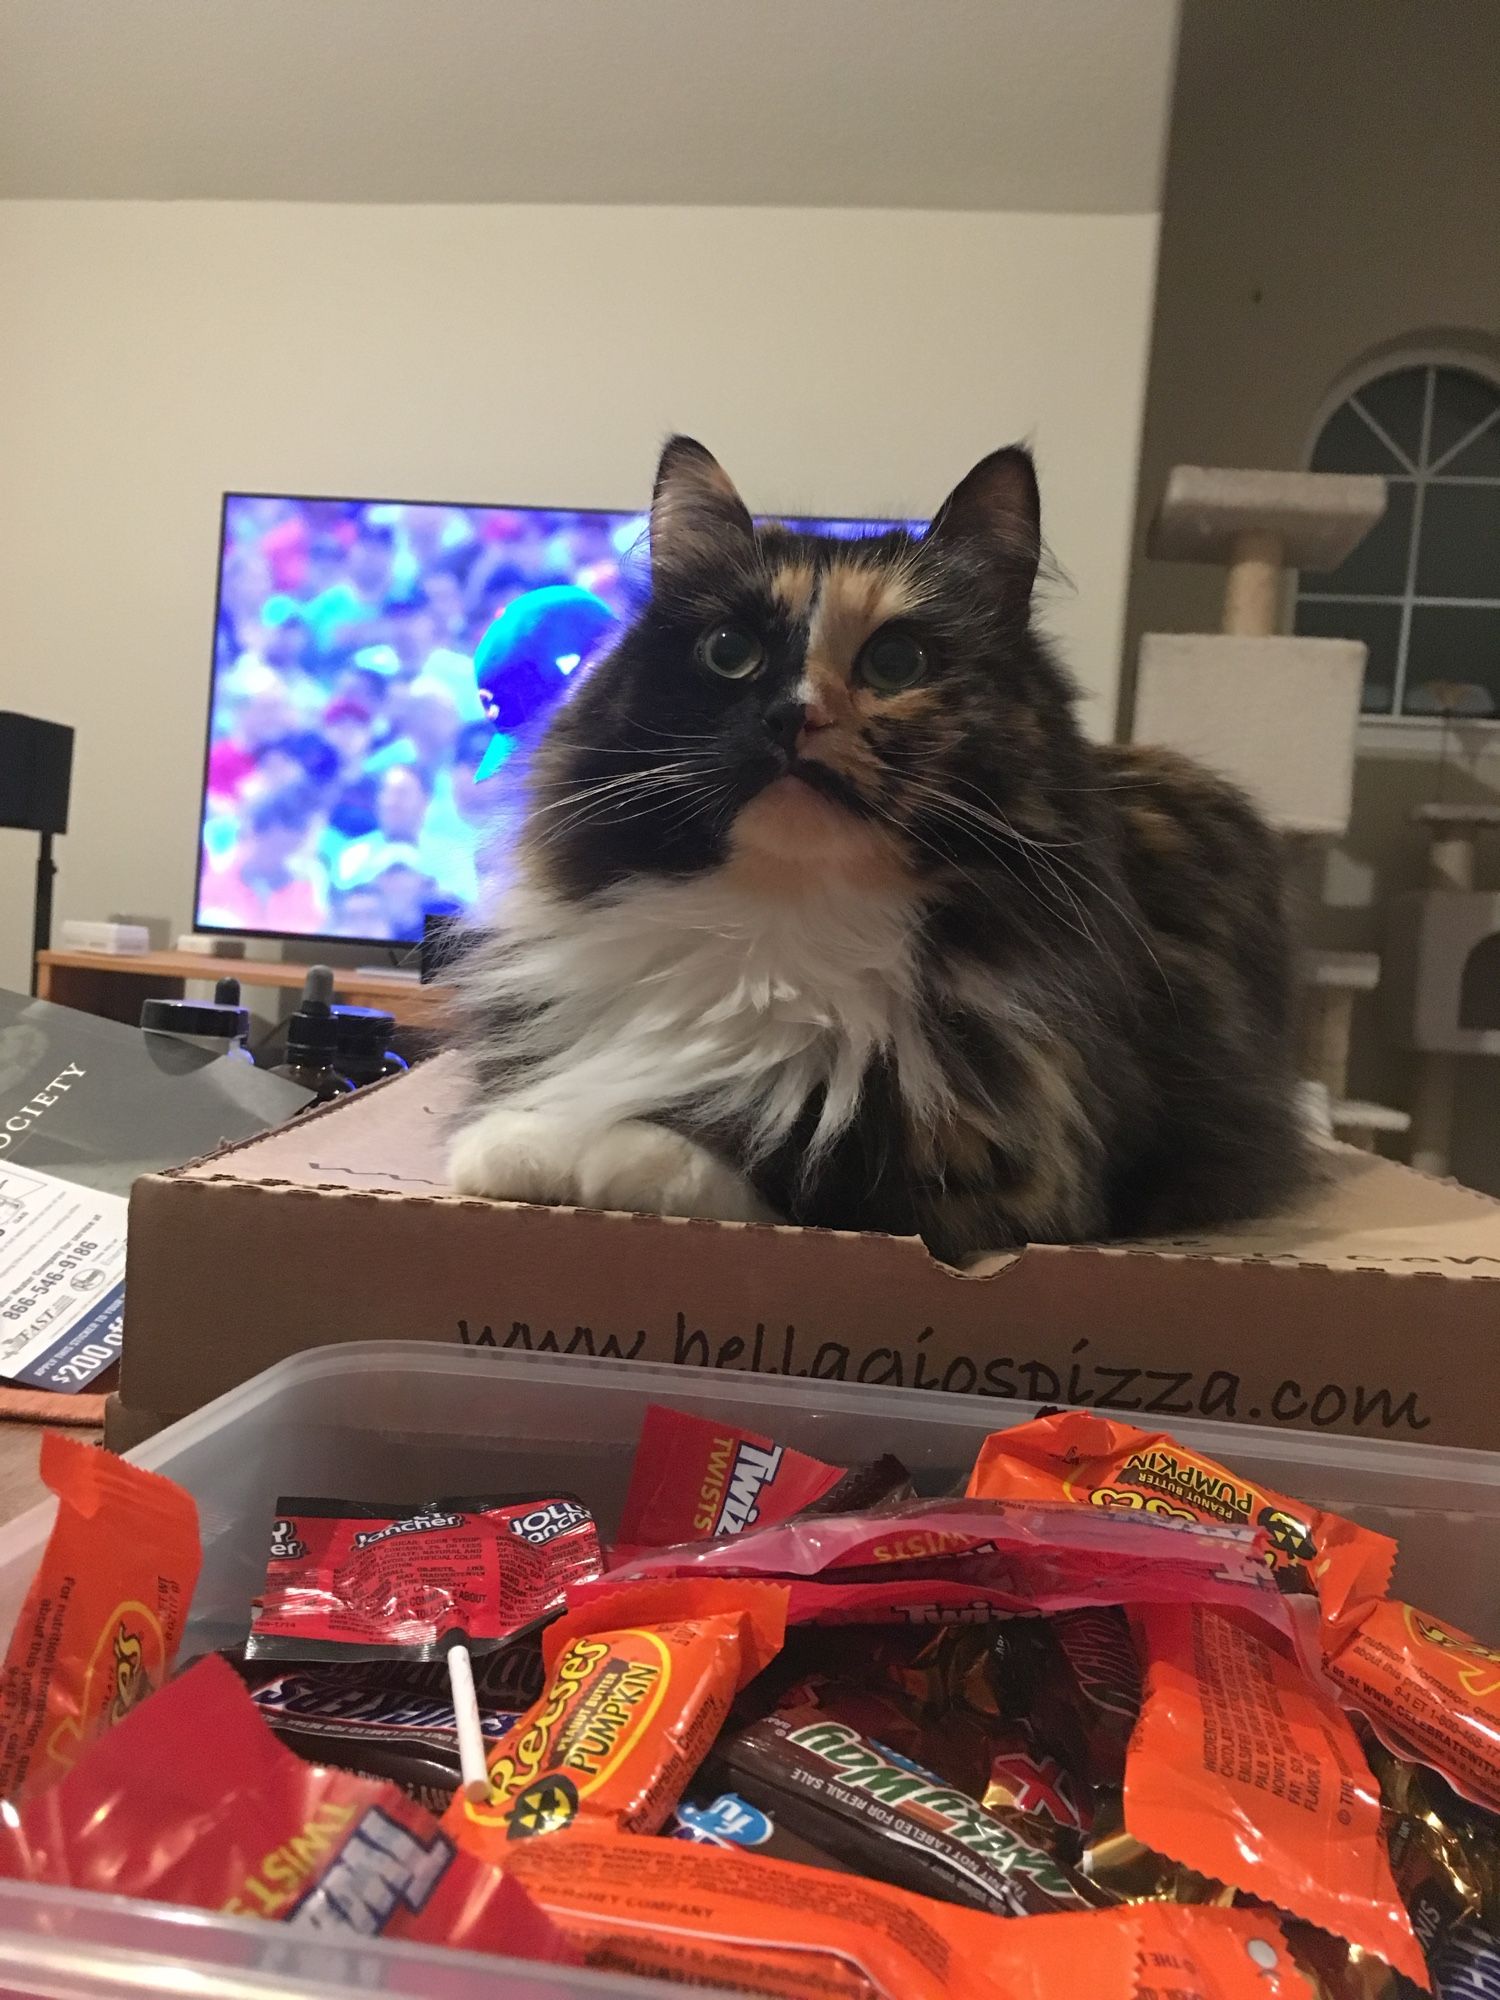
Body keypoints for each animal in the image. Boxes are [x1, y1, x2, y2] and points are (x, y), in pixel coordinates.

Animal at [446, 434, 1304, 1264]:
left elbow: (786, 1148)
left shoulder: (1020, 1162)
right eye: (729, 651)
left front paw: (555, 1147)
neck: (783, 918)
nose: (795, 715)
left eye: (896, 662)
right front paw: (519, 1138)